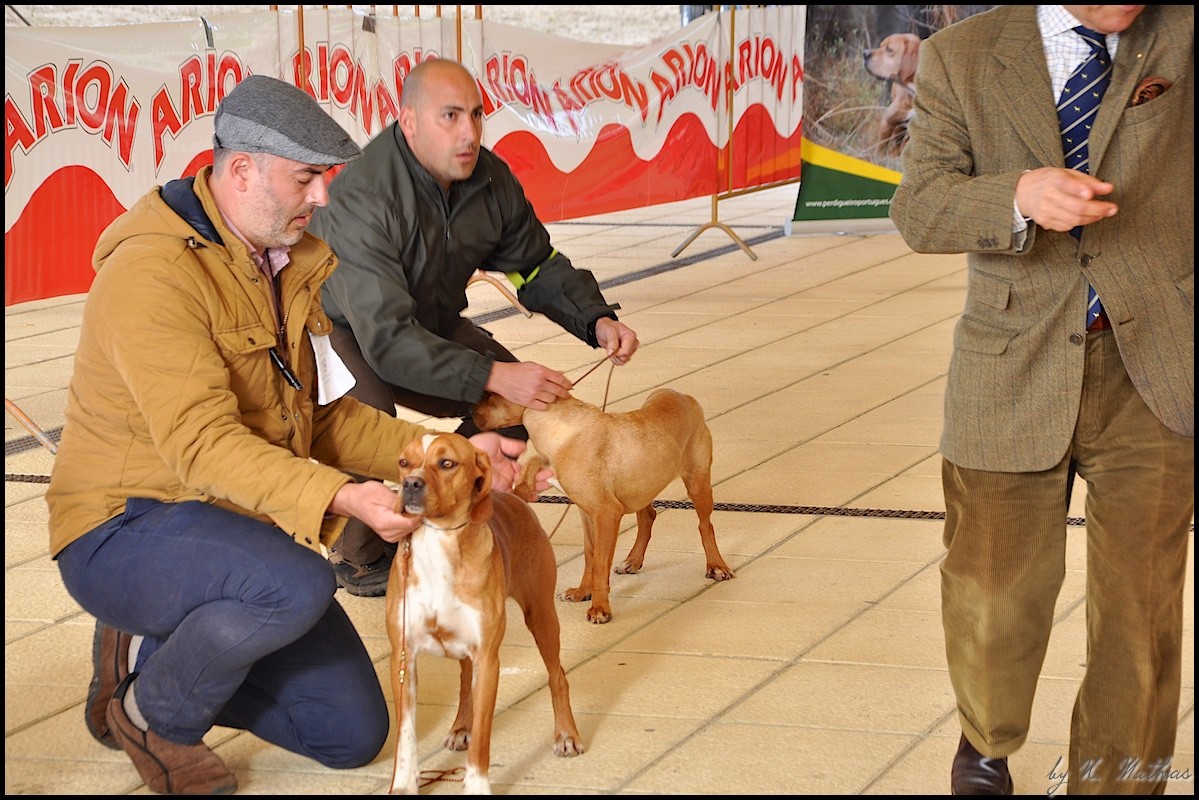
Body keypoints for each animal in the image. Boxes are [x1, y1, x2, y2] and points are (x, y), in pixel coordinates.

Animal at [386, 432, 583, 795]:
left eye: (446, 463)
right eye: (404, 462)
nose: (410, 484)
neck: (440, 542)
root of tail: (516, 497)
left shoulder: (489, 662)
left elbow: (482, 740)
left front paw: (477, 786)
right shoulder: (403, 659)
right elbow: (405, 736)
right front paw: (404, 784)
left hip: (542, 618)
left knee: (558, 677)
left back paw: (566, 734)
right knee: (465, 682)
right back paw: (461, 726)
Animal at [472, 388, 735, 625]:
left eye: (491, 394)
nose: (470, 413)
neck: (562, 433)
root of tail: (685, 397)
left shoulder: (607, 513)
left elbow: (599, 563)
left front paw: (599, 608)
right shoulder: (587, 512)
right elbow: (590, 555)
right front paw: (582, 592)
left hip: (697, 484)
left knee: (705, 526)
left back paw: (716, 566)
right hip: (641, 484)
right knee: (647, 516)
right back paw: (632, 561)